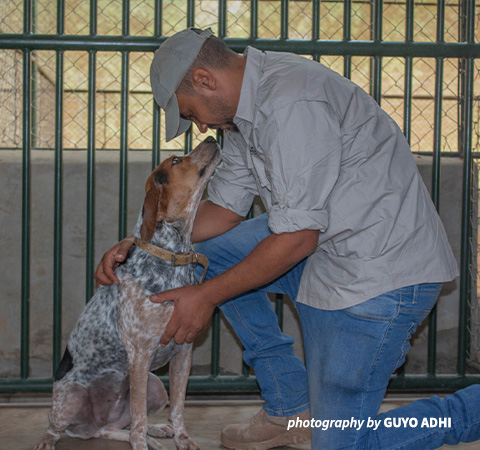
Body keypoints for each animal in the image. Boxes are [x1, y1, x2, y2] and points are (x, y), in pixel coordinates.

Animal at [33, 136, 221, 450]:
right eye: (176, 161)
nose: (209, 138)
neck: (171, 258)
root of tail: (92, 424)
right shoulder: (140, 355)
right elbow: (138, 418)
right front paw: (142, 445)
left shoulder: (183, 352)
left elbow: (178, 410)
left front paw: (182, 440)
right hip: (69, 398)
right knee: (54, 427)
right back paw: (47, 442)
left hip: (155, 386)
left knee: (112, 428)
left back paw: (156, 433)